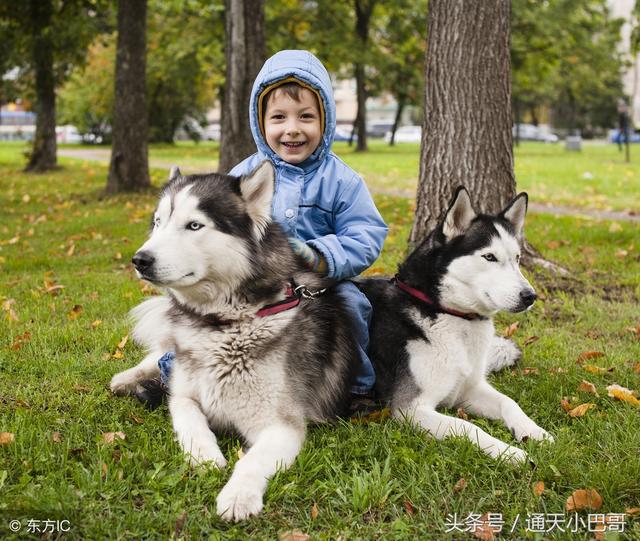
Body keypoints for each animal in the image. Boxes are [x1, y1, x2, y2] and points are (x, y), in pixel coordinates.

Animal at [112, 162, 358, 520]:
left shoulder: (282, 425)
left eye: (194, 225)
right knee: (161, 354)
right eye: (158, 222)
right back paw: (126, 377)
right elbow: (190, 421)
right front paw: (205, 457)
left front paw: (239, 495)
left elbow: (252, 461)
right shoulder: (184, 397)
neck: (225, 325)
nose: (140, 260)